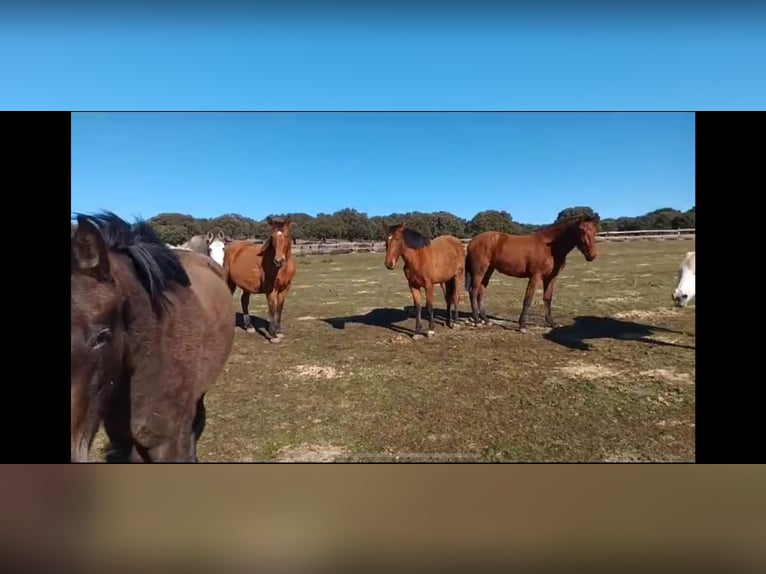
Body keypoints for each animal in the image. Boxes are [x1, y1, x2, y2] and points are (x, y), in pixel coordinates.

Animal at [464, 215, 604, 332]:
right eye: (582, 231)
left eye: (595, 231)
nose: (592, 255)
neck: (550, 247)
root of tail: (472, 242)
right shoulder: (536, 276)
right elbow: (528, 299)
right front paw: (522, 326)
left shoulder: (551, 278)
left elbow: (547, 298)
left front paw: (552, 323)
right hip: (479, 271)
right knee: (473, 291)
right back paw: (477, 321)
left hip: (488, 271)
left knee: (481, 292)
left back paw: (486, 320)